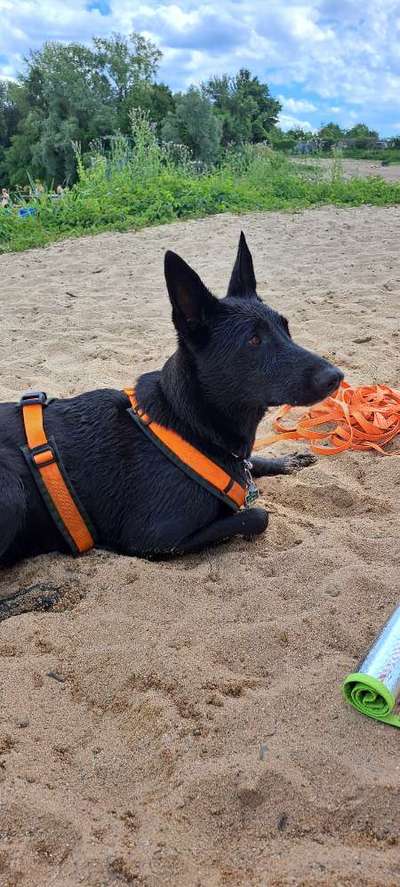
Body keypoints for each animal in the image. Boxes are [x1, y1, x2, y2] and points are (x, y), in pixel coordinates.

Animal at [0, 234, 342, 568]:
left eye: (286, 328)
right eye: (254, 340)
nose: (336, 376)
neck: (188, 422)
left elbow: (252, 465)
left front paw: (284, 461)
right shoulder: (156, 538)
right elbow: (257, 516)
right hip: (12, 485)